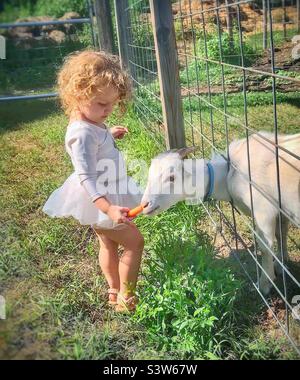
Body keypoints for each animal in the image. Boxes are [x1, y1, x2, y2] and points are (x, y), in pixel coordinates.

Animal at [141, 132, 300, 296]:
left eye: (171, 177)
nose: (144, 205)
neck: (229, 174)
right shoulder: (281, 211)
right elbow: (281, 234)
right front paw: (282, 264)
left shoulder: (263, 210)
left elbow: (265, 247)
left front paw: (264, 284)